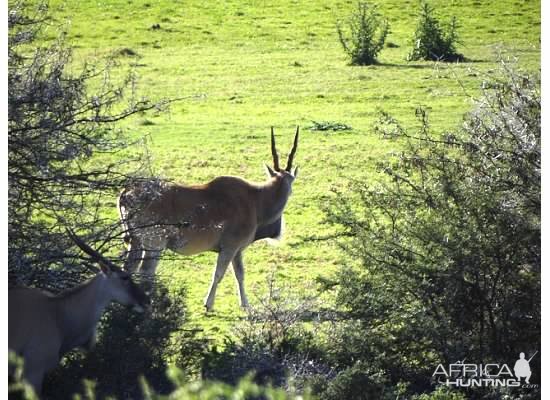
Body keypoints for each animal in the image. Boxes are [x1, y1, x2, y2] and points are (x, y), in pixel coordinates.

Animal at [119, 126, 302, 310]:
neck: (255, 199)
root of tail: (127, 192)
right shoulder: (229, 247)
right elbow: (219, 274)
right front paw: (208, 304)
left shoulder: (237, 251)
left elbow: (240, 275)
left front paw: (245, 305)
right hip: (155, 244)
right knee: (146, 271)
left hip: (135, 242)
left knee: (129, 268)